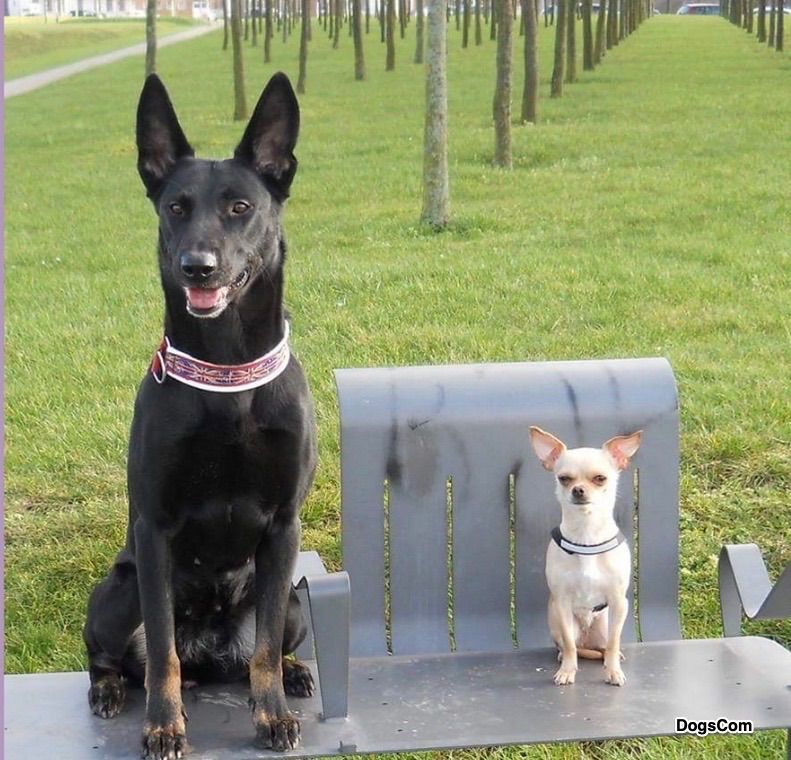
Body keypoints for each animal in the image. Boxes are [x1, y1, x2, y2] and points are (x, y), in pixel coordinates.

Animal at [80, 72, 316, 760]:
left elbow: (261, 652)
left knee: (263, 648)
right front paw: (163, 726)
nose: (198, 267)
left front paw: (271, 715)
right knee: (116, 656)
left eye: (241, 207)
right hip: (117, 591)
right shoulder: (154, 533)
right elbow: (160, 653)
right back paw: (110, 690)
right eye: (176, 208)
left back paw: (293, 673)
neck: (226, 376)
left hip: (294, 601)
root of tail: (209, 652)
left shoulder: (284, 528)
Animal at [524, 428, 644, 688]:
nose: (578, 490)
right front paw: (567, 671)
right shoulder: (562, 603)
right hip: (558, 624)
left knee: (605, 646)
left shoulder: (618, 602)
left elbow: (614, 642)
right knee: (571, 645)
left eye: (600, 478)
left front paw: (613, 671)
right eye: (564, 478)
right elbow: (570, 646)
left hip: (605, 623)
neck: (586, 534)